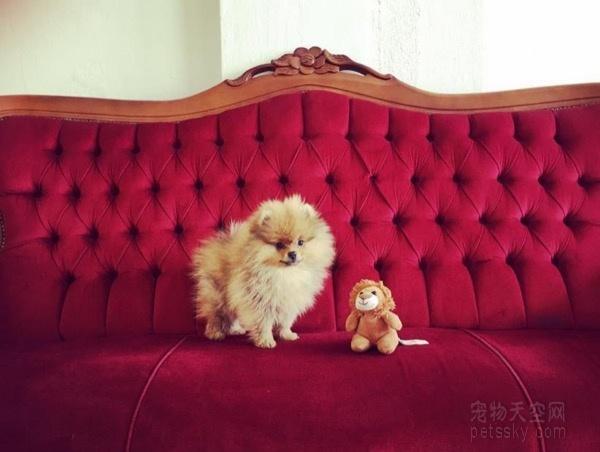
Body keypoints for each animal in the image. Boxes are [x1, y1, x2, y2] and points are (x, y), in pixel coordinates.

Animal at [192, 195, 335, 348]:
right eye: (279, 244)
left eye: (300, 242)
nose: (292, 254)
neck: (284, 273)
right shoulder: (260, 301)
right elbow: (263, 323)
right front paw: (266, 341)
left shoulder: (289, 302)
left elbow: (286, 321)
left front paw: (287, 334)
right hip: (218, 295)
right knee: (216, 314)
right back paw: (215, 333)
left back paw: (236, 329)